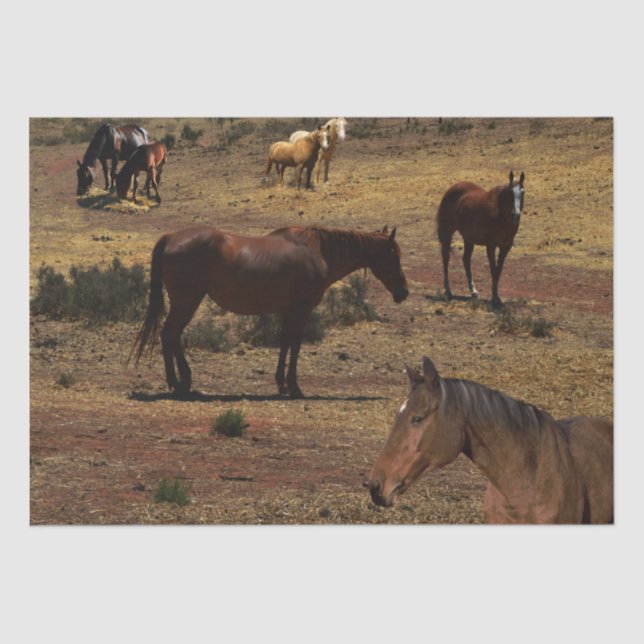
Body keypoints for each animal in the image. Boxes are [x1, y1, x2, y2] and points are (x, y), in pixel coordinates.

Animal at [129, 224, 409, 398]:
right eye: (394, 255)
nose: (403, 292)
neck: (317, 252)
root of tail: (172, 236)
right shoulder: (301, 309)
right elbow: (295, 344)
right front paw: (294, 387)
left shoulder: (288, 310)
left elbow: (284, 343)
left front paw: (281, 384)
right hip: (186, 300)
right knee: (169, 334)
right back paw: (177, 383)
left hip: (191, 300)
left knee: (173, 336)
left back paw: (184, 381)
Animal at [436, 171, 525, 307]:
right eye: (510, 192)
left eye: (523, 192)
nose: (516, 215)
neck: (500, 215)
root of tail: (451, 189)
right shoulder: (491, 246)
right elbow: (493, 270)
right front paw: (495, 298)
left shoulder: (505, 247)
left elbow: (498, 271)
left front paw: (496, 296)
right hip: (447, 234)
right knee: (446, 259)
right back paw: (448, 290)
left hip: (468, 239)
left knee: (466, 260)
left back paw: (473, 291)